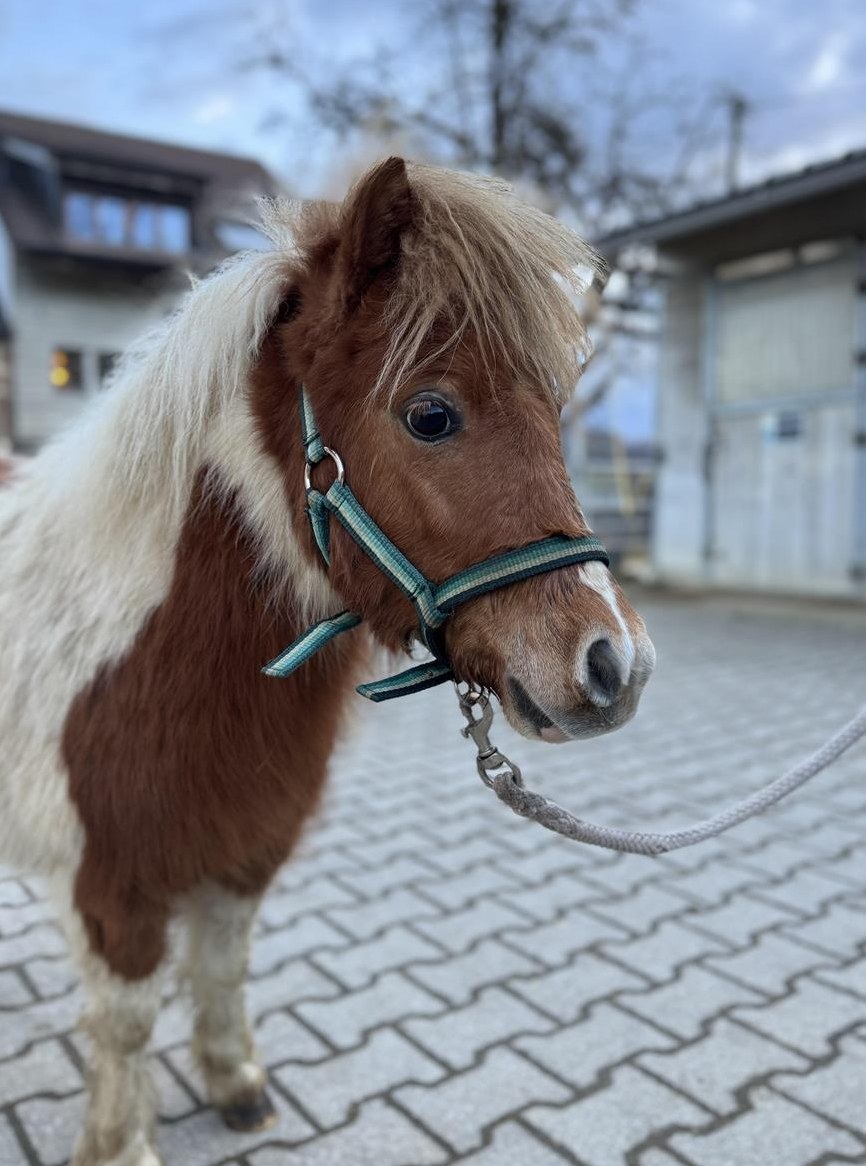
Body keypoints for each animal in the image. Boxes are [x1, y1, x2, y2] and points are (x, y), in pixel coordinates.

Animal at [0, 156, 655, 1166]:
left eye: (554, 409)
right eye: (430, 415)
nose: (612, 664)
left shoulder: (242, 854)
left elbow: (223, 970)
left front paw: (236, 1085)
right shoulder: (113, 890)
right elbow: (125, 1024)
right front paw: (121, 1143)